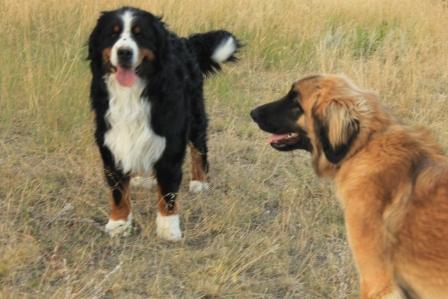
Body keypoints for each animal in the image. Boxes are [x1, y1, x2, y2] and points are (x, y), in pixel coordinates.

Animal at [88, 6, 242, 241]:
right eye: (112, 34)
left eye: (140, 34)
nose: (124, 52)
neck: (132, 93)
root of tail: (183, 40)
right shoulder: (110, 137)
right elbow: (118, 190)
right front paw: (119, 223)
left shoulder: (171, 140)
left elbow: (168, 191)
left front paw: (168, 227)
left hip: (195, 114)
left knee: (199, 147)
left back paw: (200, 181)